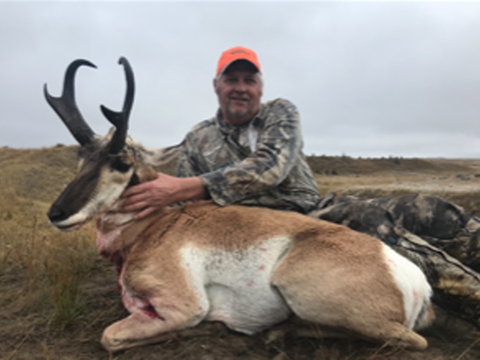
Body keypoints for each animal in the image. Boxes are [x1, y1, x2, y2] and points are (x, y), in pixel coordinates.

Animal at [45, 57, 436, 352]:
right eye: (81, 157)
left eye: (122, 163)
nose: (56, 213)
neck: (152, 228)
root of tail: (413, 278)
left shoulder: (184, 306)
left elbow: (109, 336)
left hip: (297, 285)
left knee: (410, 341)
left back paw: (277, 332)